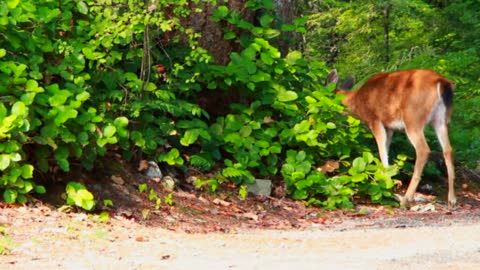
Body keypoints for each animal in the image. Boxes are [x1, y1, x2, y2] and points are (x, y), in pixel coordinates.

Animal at [326, 68, 458, 208]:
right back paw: (452, 199)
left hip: (413, 118)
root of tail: (442, 82)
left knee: (423, 150)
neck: (357, 101)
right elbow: (386, 150)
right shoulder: (389, 127)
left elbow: (382, 153)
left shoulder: (375, 120)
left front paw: (385, 185)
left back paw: (406, 199)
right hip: (441, 120)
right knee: (448, 150)